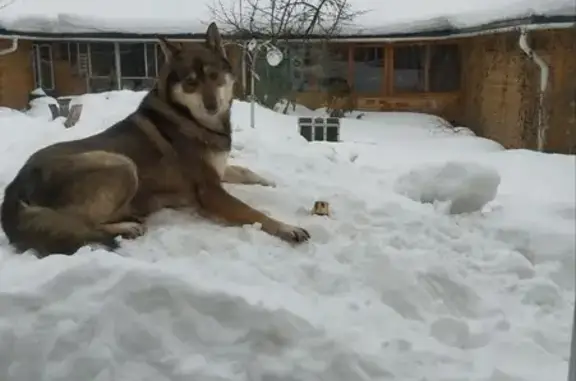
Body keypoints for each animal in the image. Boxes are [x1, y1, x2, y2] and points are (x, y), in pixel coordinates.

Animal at [0, 22, 310, 256]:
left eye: (214, 76)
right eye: (191, 82)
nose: (211, 105)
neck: (190, 118)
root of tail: (13, 191)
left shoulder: (217, 170)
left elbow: (244, 170)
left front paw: (268, 181)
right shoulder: (210, 192)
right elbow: (256, 214)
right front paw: (288, 228)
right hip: (121, 164)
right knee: (81, 223)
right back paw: (126, 227)